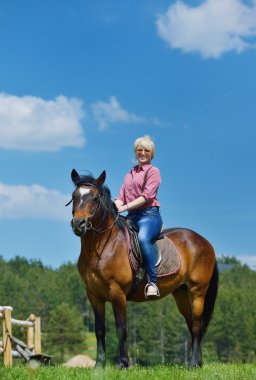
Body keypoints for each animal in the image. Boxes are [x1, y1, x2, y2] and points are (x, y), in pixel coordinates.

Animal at [68, 169, 218, 368]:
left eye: (95, 198)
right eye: (74, 196)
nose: (79, 224)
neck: (102, 246)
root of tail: (204, 241)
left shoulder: (117, 292)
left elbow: (121, 329)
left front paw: (123, 364)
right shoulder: (94, 295)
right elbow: (99, 330)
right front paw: (99, 365)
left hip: (197, 291)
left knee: (196, 326)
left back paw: (193, 363)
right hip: (181, 293)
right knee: (192, 324)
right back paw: (197, 363)